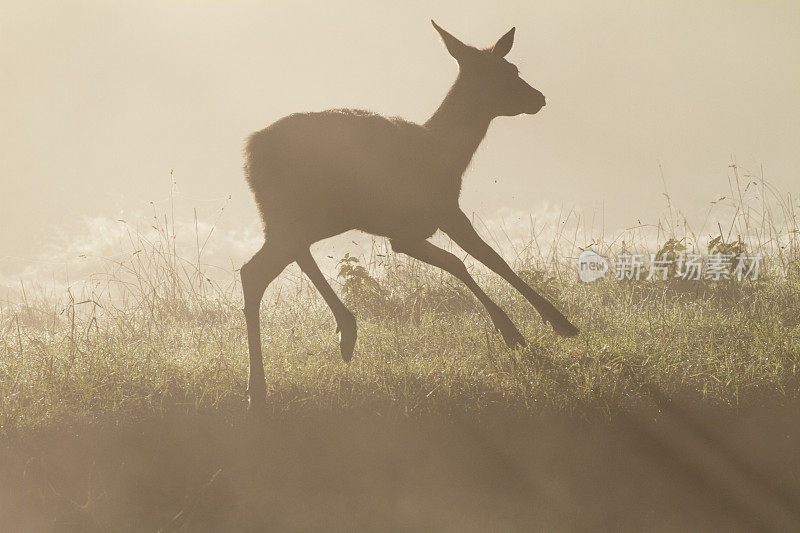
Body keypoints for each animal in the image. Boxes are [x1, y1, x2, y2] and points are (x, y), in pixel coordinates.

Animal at [241, 18, 580, 406]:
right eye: (507, 72)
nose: (539, 98)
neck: (446, 155)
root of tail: (249, 154)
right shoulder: (442, 209)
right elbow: (491, 258)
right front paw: (550, 325)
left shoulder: (404, 234)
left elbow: (457, 262)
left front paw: (516, 327)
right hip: (298, 212)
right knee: (259, 269)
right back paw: (284, 370)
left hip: (291, 217)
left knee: (266, 266)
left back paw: (324, 343)